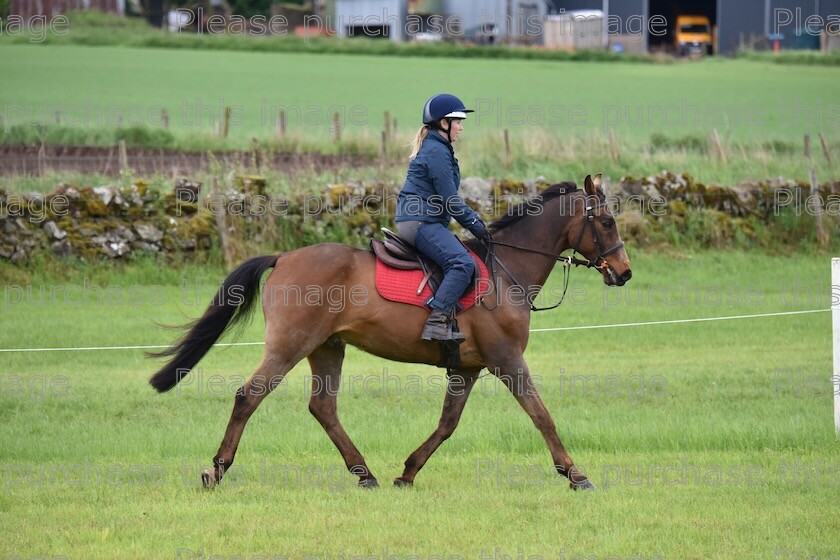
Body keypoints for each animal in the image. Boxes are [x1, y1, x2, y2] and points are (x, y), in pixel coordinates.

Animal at [149, 174, 632, 490]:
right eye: (606, 222)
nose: (624, 272)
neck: (504, 270)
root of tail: (283, 257)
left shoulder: (468, 369)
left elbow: (447, 424)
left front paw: (408, 472)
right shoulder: (507, 360)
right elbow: (541, 415)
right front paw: (575, 474)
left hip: (327, 347)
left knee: (323, 408)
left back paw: (365, 474)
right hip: (289, 346)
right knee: (248, 397)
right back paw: (216, 469)